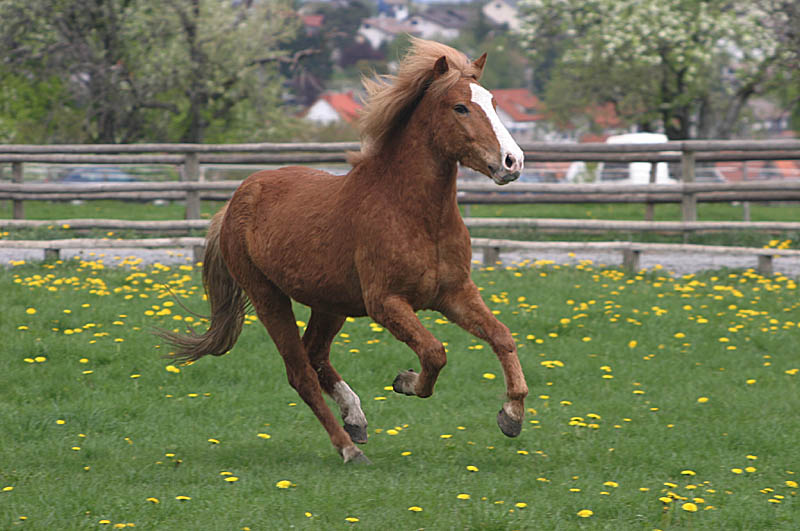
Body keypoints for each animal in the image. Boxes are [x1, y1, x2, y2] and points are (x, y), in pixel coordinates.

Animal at [159, 38, 528, 462]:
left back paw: (356, 418)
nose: (512, 162)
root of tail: (235, 200)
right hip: (268, 297)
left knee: (315, 354)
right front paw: (405, 381)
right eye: (460, 107)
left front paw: (511, 415)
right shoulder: (386, 303)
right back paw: (348, 446)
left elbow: (501, 336)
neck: (415, 215)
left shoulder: (454, 294)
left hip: (330, 303)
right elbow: (435, 353)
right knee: (300, 371)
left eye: (494, 102)